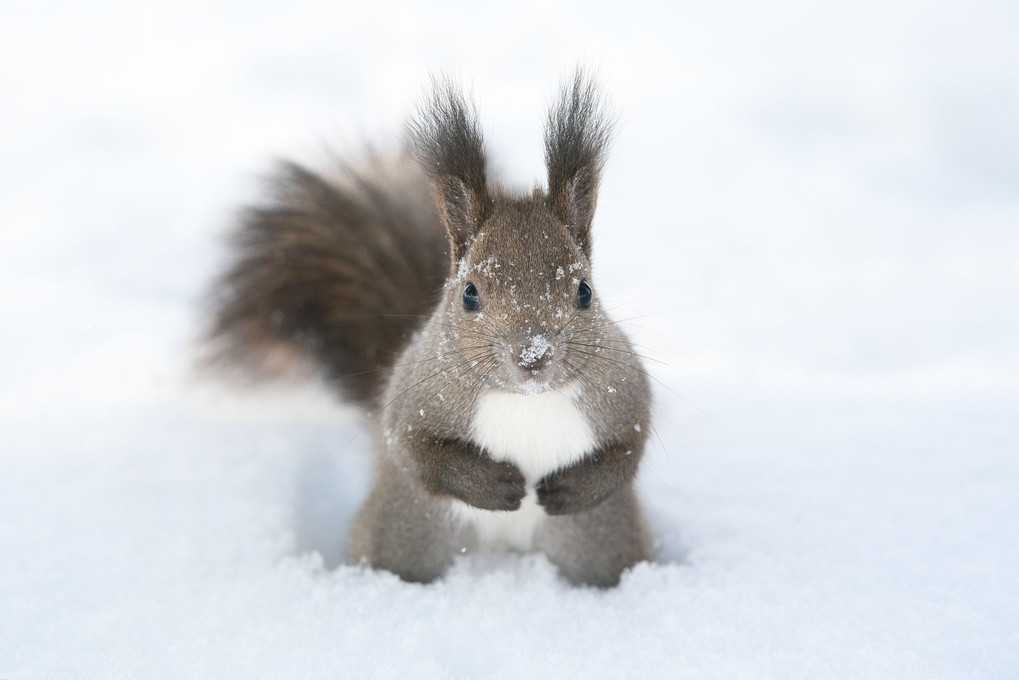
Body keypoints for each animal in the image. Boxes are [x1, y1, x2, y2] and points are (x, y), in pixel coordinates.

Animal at [205, 73, 652, 587]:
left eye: (584, 292)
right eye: (470, 294)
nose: (532, 356)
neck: (526, 400)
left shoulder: (621, 387)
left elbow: (631, 446)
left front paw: (571, 488)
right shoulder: (415, 395)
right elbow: (415, 450)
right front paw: (494, 484)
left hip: (597, 538)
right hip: (409, 531)